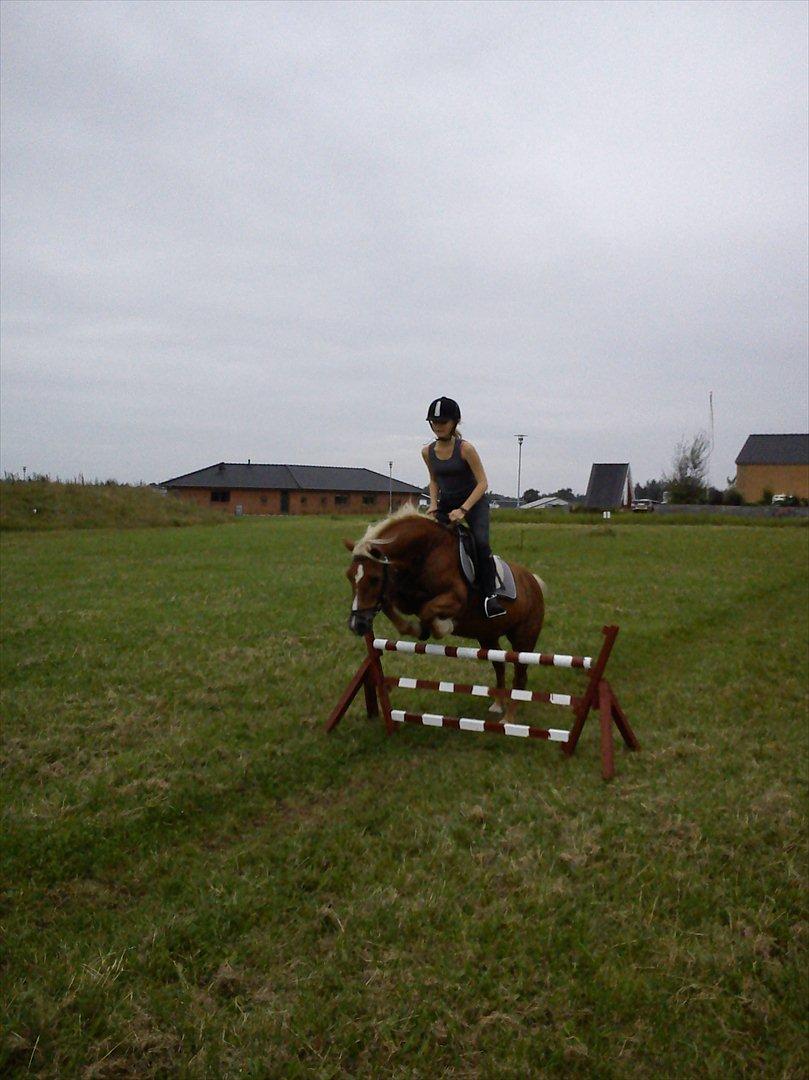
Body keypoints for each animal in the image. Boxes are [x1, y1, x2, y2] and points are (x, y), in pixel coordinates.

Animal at [343, 505, 546, 717]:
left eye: (374, 579)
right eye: (349, 576)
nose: (357, 625)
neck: (427, 551)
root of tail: (532, 580)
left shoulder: (456, 599)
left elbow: (427, 610)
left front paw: (442, 627)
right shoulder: (403, 596)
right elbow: (394, 606)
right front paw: (418, 629)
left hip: (524, 639)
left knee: (520, 674)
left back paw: (508, 717)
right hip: (487, 635)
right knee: (499, 664)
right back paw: (498, 704)